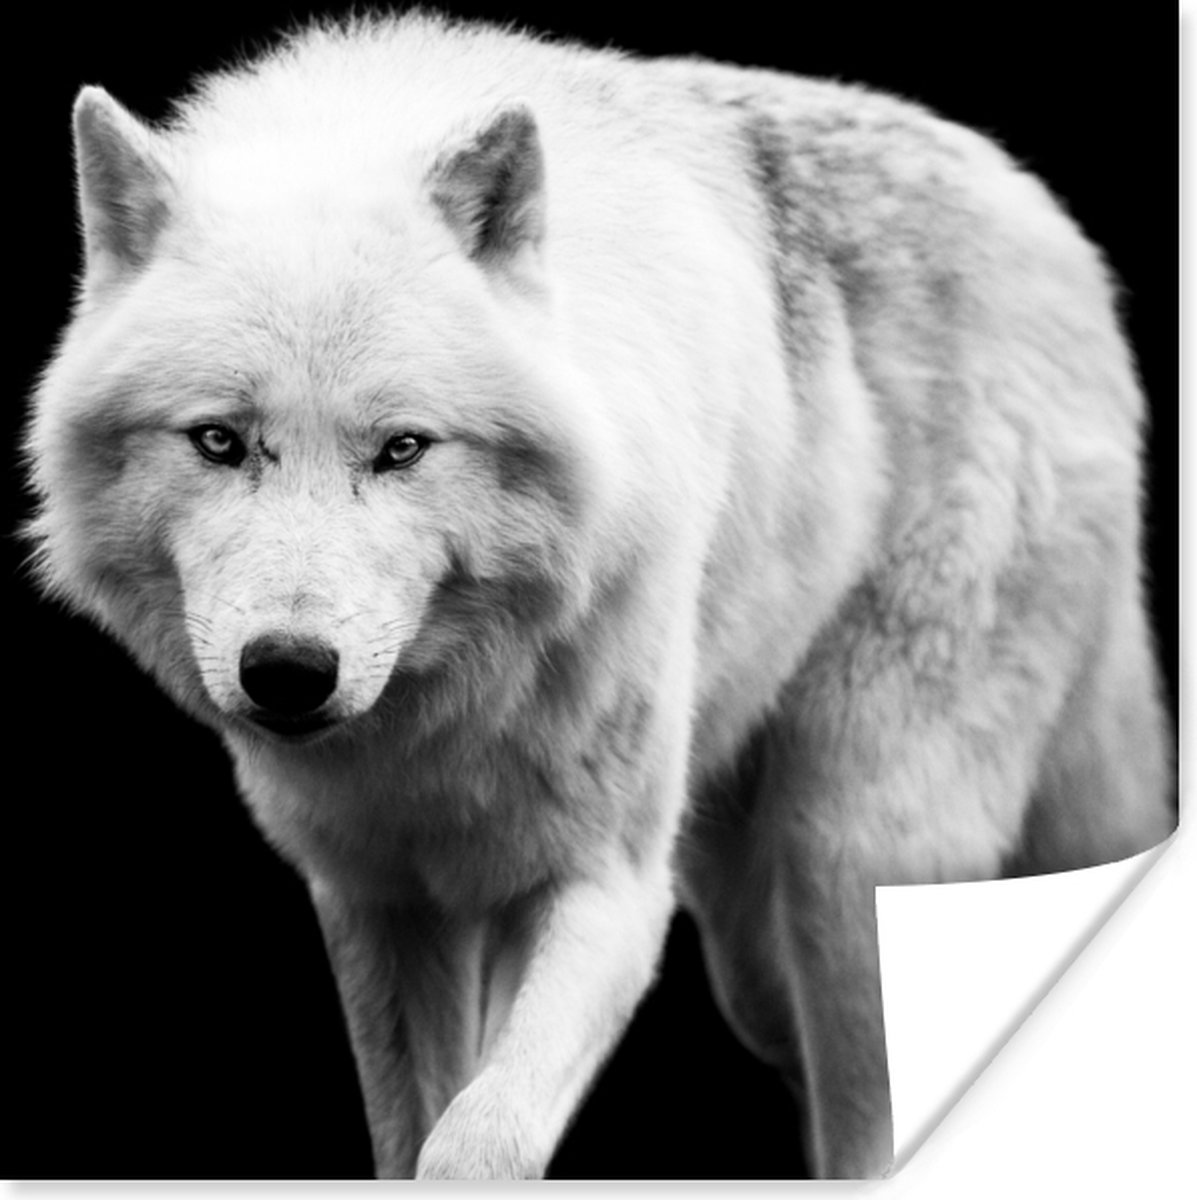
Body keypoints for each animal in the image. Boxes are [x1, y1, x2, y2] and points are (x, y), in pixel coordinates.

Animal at [25, 9, 1173, 1180]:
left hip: (850, 856)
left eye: (402, 449)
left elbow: (475, 1143)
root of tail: (1050, 225)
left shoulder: (610, 889)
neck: (446, 722)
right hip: (750, 946)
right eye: (219, 441)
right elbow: (411, 1133)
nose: (290, 673)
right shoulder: (380, 901)